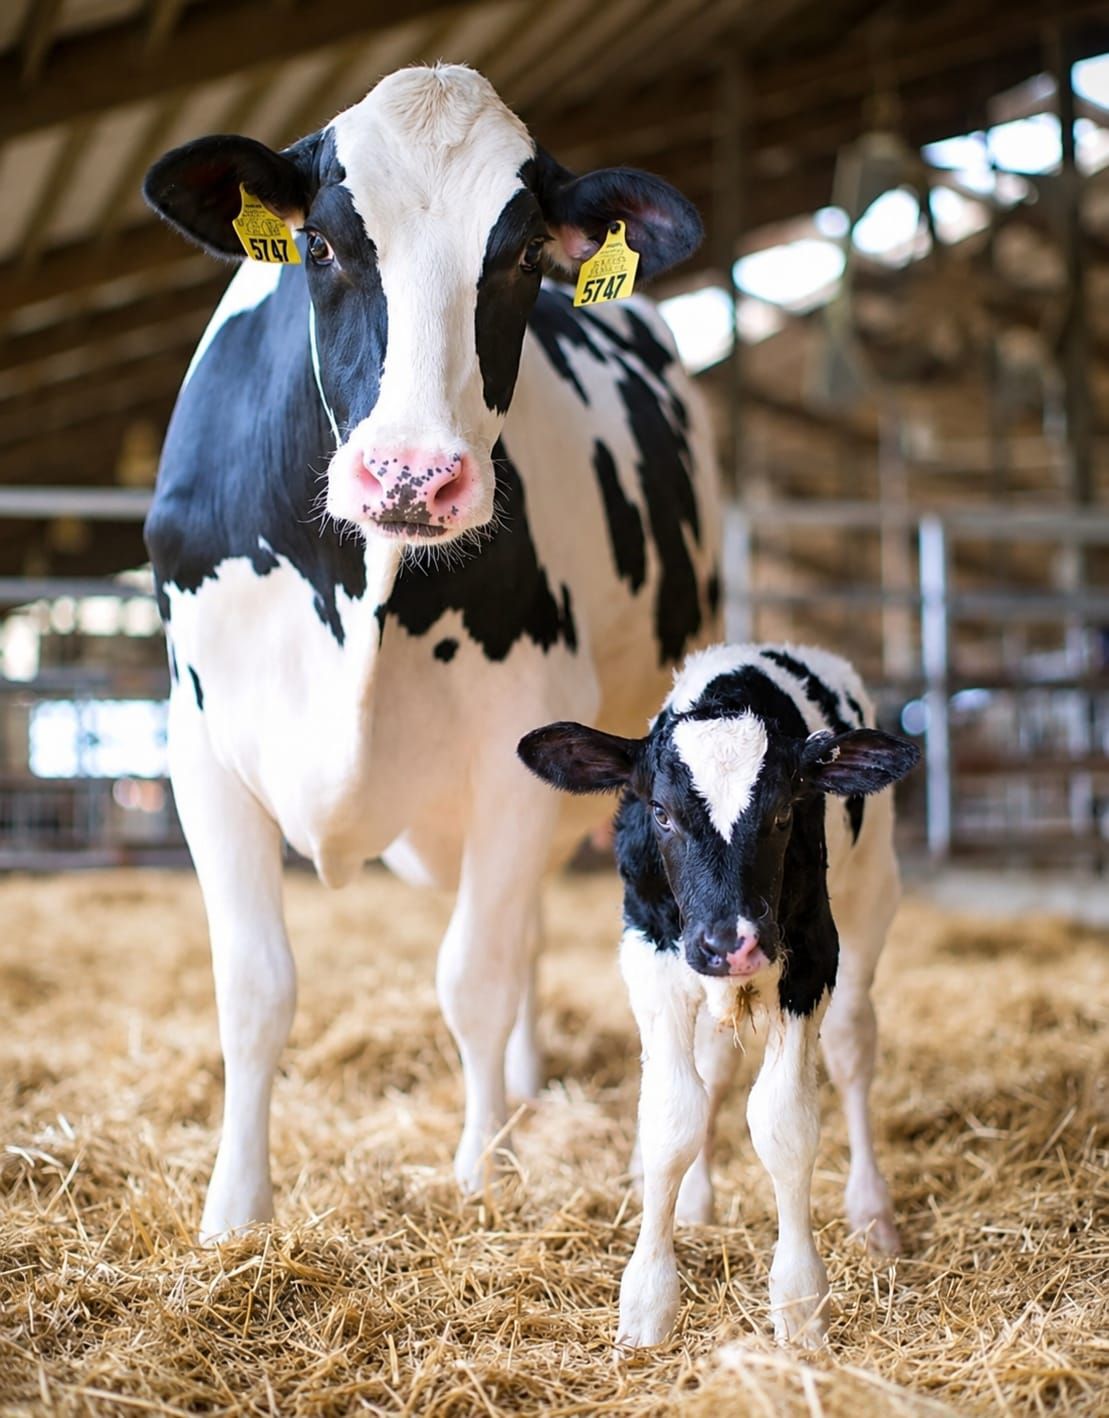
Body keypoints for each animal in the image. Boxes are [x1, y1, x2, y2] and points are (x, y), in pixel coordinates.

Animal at [141, 64, 720, 1242]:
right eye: (319, 244)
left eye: (523, 255)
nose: (412, 475)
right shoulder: (201, 746)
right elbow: (255, 988)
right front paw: (234, 1212)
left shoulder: (518, 745)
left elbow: (474, 978)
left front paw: (482, 1172)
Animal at [518, 642, 920, 1347]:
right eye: (661, 813)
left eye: (784, 813)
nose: (730, 942)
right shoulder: (649, 952)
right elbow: (672, 1117)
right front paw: (648, 1303)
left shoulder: (812, 956)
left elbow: (784, 1123)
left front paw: (800, 1302)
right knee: (711, 1071)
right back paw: (698, 1202)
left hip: (872, 901)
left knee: (851, 1052)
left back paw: (873, 1213)